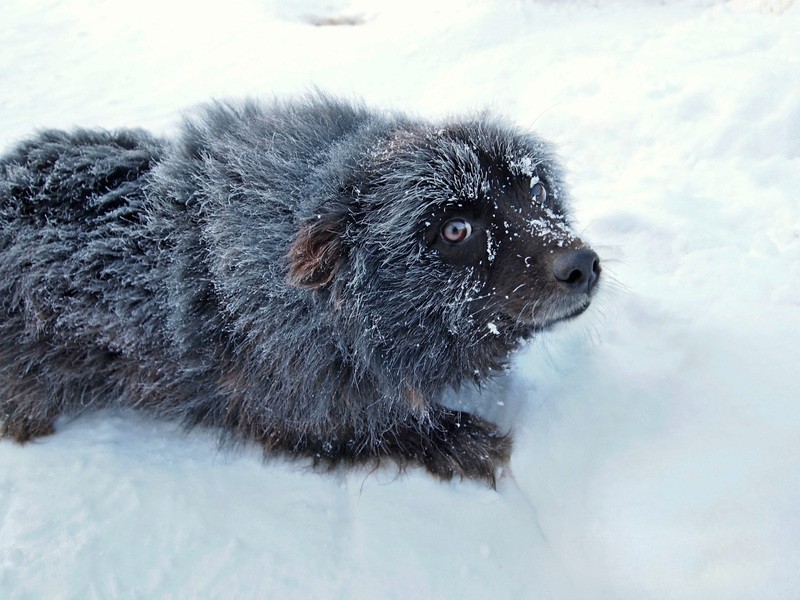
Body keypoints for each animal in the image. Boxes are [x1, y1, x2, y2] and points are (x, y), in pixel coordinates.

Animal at [0, 95, 600, 488]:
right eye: (456, 229)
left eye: (535, 191)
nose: (583, 265)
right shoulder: (287, 406)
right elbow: (377, 423)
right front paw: (464, 440)